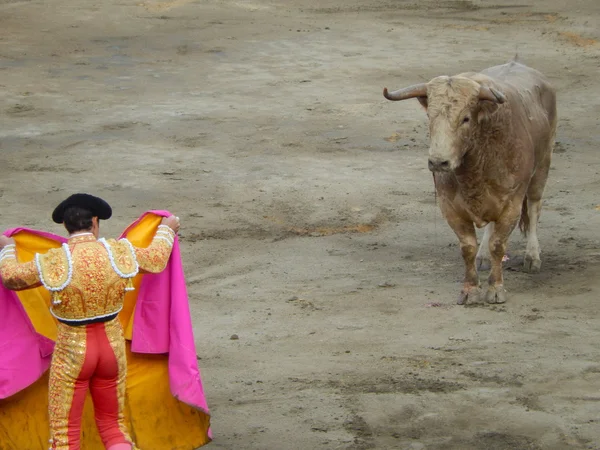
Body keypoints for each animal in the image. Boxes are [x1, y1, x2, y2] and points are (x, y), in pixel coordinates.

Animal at [384, 58, 556, 304]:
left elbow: (498, 244)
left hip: (542, 167)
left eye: (465, 118)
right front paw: (470, 290)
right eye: (431, 117)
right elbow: (468, 248)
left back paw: (532, 257)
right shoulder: (450, 207)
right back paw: (484, 257)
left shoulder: (511, 204)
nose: (438, 162)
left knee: (533, 208)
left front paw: (496, 289)